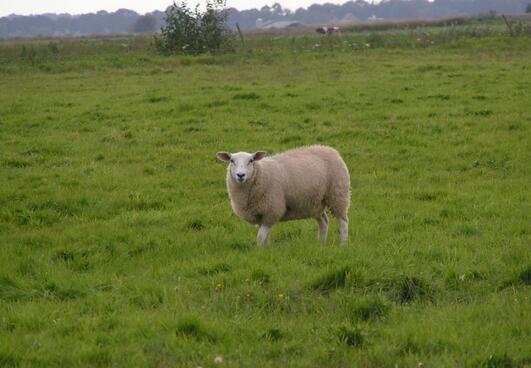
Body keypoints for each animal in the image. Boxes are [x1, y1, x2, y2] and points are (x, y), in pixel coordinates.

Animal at [214, 145, 352, 246]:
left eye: (251, 161)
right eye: (232, 160)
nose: (240, 175)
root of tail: (331, 149)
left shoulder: (272, 210)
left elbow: (260, 237)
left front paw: (259, 251)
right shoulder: (260, 215)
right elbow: (265, 237)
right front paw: (267, 249)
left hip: (338, 194)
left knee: (343, 222)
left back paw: (343, 244)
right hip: (315, 202)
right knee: (324, 222)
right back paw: (321, 243)